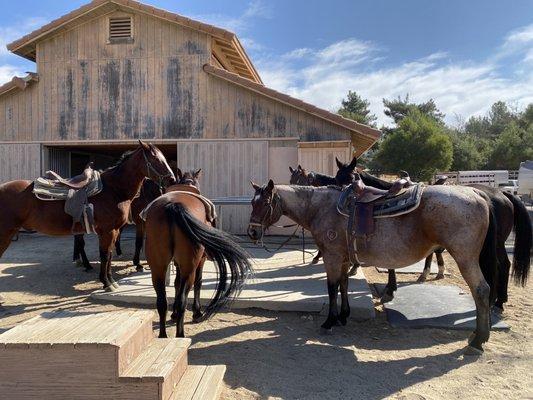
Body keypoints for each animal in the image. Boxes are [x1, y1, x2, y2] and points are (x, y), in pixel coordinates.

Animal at [0, 141, 175, 290]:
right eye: (155, 158)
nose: (172, 179)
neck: (113, 190)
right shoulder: (109, 230)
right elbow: (105, 255)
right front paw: (107, 282)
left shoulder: (114, 230)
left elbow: (109, 255)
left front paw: (110, 281)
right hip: (6, 234)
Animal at [141, 175, 249, 338]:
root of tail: (173, 205)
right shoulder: (200, 260)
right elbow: (199, 282)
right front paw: (197, 312)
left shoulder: (177, 263)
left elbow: (176, 283)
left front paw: (174, 314)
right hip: (189, 267)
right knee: (183, 299)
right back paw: (180, 334)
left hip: (158, 268)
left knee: (161, 302)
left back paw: (163, 336)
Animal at [246, 178, 528, 354]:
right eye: (252, 203)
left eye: (264, 203)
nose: (252, 232)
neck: (323, 207)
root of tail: (478, 193)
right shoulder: (344, 258)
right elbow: (344, 285)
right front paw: (344, 316)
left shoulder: (332, 257)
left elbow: (332, 287)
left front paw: (330, 321)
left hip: (465, 256)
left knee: (481, 290)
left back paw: (478, 339)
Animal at [332, 156, 528, 310]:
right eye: (336, 177)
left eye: (351, 177)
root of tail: (498, 194)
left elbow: (393, 264)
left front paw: (390, 289)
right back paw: (498, 301)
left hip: (492, 244)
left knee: (500, 265)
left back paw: (496, 302)